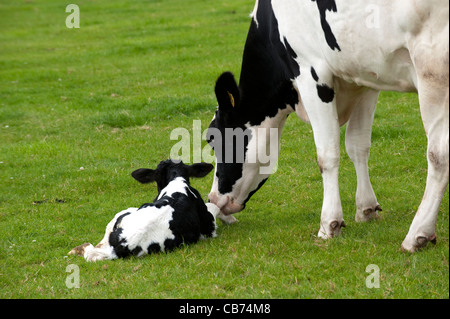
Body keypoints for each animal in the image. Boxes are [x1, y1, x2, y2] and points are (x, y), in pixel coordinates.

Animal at [207, 0, 446, 255]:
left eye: (211, 139)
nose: (213, 198)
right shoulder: (365, 81)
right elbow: (357, 145)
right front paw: (366, 209)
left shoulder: (311, 74)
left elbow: (327, 155)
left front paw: (329, 225)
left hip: (432, 67)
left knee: (438, 155)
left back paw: (417, 234)